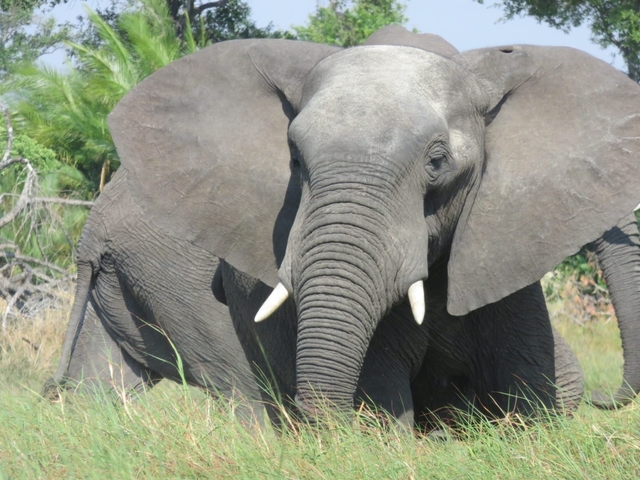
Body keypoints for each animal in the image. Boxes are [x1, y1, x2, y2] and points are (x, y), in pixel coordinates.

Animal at [46, 27, 640, 427]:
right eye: (293, 158)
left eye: (437, 161)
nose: (608, 399)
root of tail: (92, 230)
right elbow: (381, 403)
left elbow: (533, 385)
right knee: (241, 389)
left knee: (100, 387)